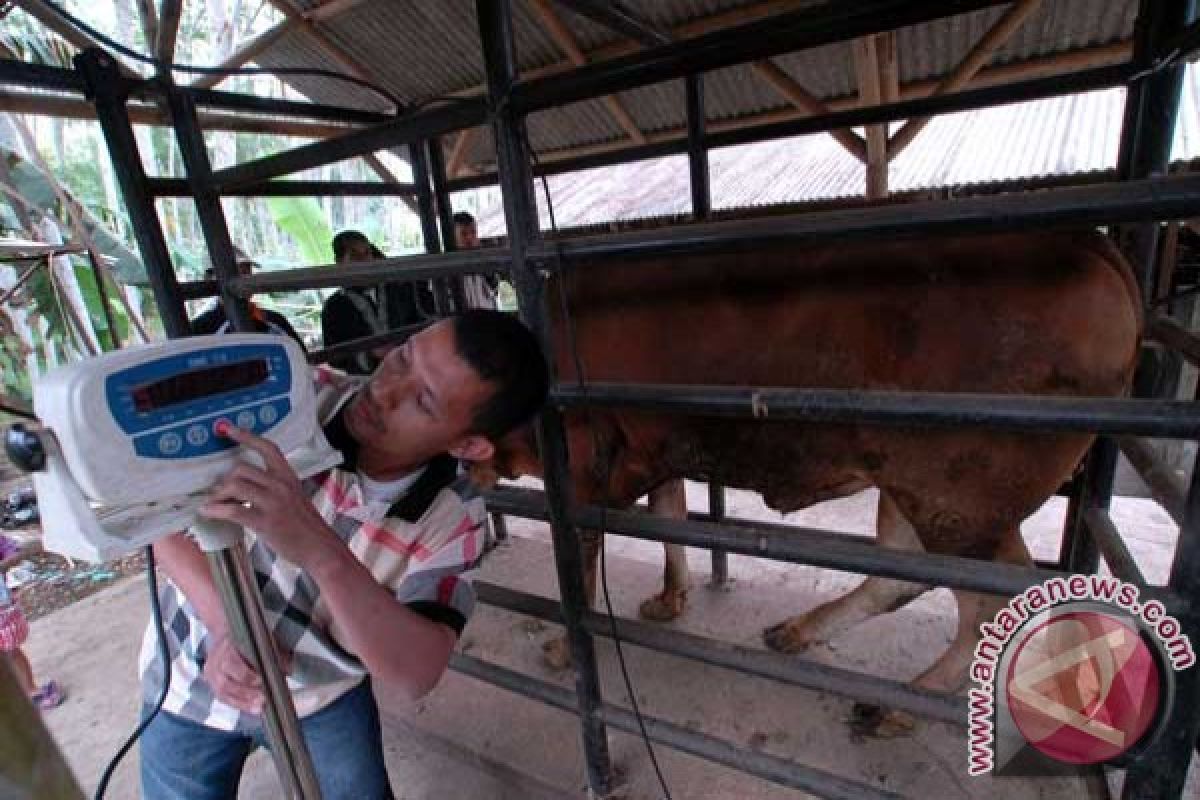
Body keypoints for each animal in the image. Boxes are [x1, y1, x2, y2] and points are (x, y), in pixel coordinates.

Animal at [482, 227, 1137, 734]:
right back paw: (798, 635)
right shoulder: (656, 450)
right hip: (915, 490)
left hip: (960, 501)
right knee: (899, 576)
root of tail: (1084, 239)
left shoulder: (586, 469)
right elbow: (670, 520)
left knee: (987, 601)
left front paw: (564, 647)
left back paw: (907, 706)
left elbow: (581, 560)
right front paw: (670, 599)